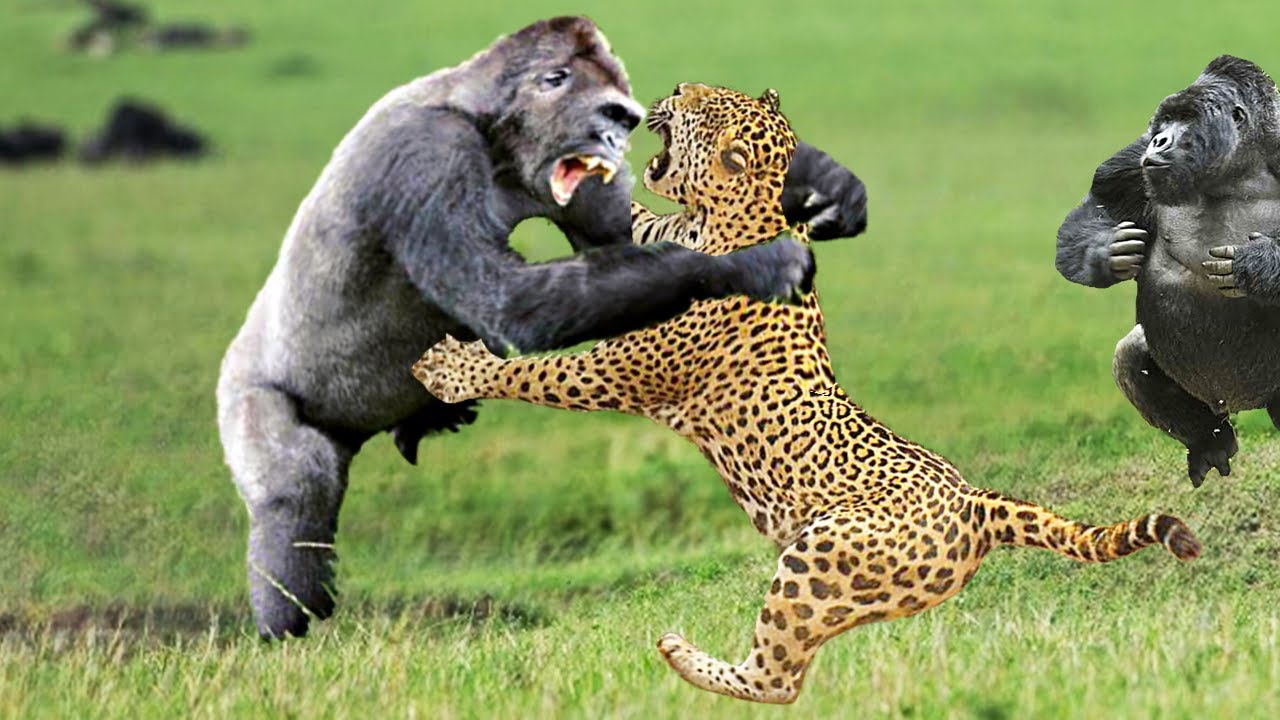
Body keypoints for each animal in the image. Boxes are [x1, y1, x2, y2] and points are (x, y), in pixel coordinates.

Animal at [216, 16, 869, 639]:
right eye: (612, 115)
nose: (617, 141)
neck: (481, 115)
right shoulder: (428, 154)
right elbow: (511, 304)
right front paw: (749, 265)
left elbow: (619, 236)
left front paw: (823, 180)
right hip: (244, 396)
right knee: (296, 490)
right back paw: (290, 631)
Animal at [411, 83, 1202, 704]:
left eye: (703, 104)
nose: (674, 89)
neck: (734, 217)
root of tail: (977, 501)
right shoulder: (660, 233)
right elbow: (632, 217)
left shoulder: (625, 367)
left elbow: (538, 371)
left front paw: (451, 367)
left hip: (816, 557)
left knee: (779, 679)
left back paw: (681, 656)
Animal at [1056, 55, 1280, 487]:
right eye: (1163, 122)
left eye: (1188, 118)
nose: (1160, 141)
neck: (1238, 168)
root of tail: (1247, 402)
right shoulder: (1136, 158)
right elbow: (1098, 204)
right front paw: (1105, 253)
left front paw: (1255, 262)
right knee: (1130, 357)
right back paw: (1209, 442)